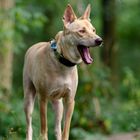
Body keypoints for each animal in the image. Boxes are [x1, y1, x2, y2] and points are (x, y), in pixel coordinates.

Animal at [22, 3, 101, 139]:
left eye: (94, 30)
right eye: (81, 31)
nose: (99, 40)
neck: (63, 63)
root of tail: (33, 46)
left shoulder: (69, 101)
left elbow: (65, 130)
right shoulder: (42, 99)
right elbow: (44, 129)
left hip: (58, 106)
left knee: (57, 128)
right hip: (28, 100)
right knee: (29, 127)